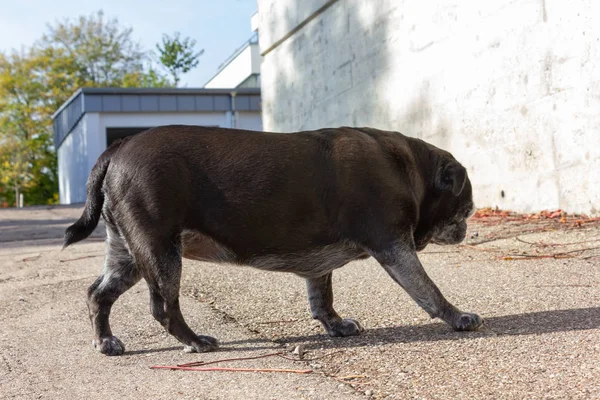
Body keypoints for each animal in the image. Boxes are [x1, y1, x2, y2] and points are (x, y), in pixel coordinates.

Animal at [63, 126, 482, 356]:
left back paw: (105, 342)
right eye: (465, 205)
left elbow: (322, 298)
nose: (468, 225)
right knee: (164, 308)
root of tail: (118, 147)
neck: (410, 169)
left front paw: (335, 326)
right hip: (160, 252)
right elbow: (428, 290)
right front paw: (458, 317)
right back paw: (196, 341)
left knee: (97, 294)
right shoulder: (394, 246)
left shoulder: (321, 266)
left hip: (128, 255)